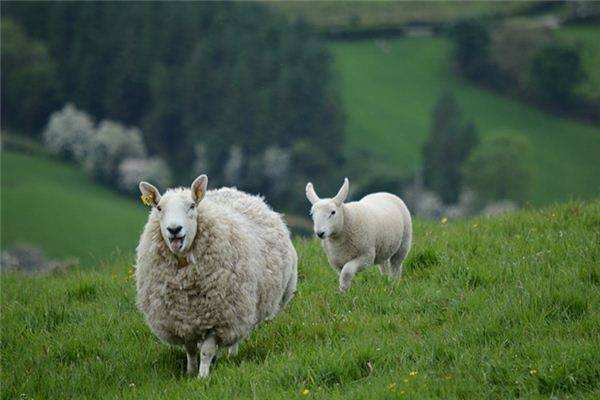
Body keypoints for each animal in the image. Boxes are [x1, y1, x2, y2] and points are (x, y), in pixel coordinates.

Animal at [134, 175, 298, 378]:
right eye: (158, 208)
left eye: (192, 206)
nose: (174, 229)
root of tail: (234, 191)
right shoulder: (182, 320)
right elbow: (190, 349)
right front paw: (190, 372)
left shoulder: (219, 317)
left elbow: (207, 350)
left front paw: (202, 376)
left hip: (242, 306)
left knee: (239, 333)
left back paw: (231, 355)